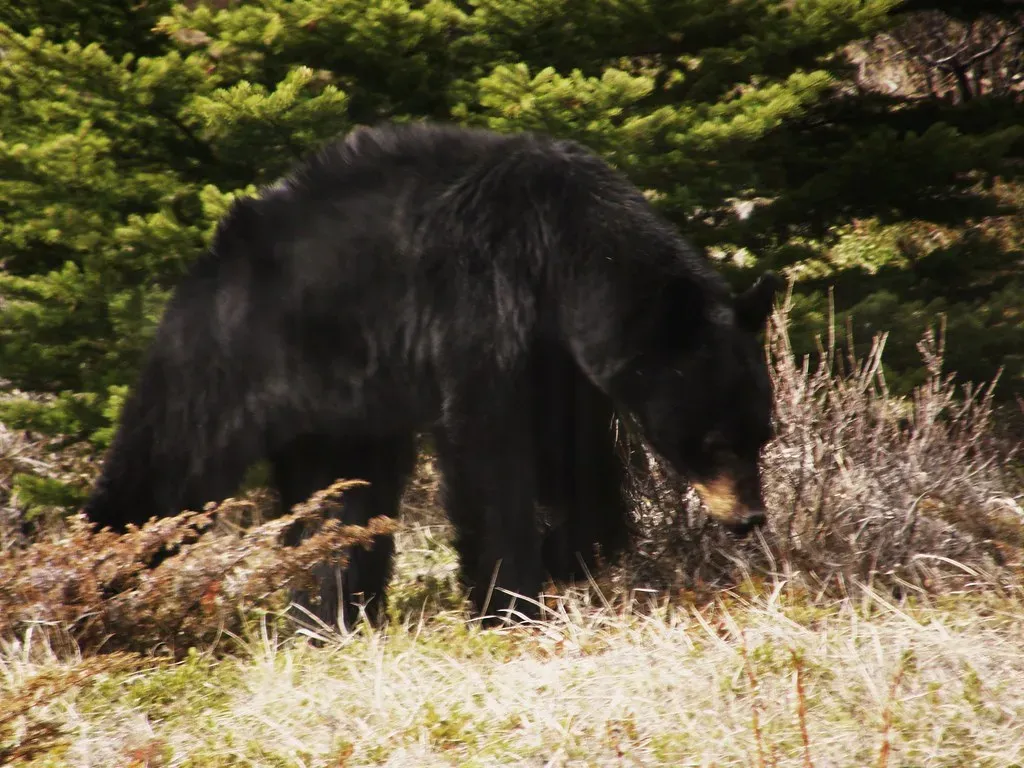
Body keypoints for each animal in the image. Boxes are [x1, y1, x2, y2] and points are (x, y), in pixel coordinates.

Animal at [82, 120, 780, 628]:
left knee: (342, 500)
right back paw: (88, 589)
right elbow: (486, 450)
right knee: (167, 467)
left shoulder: (562, 358)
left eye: (762, 434)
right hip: (225, 362)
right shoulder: (479, 303)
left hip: (344, 405)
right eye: (714, 441)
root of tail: (203, 265)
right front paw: (510, 600)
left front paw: (572, 556)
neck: (562, 254)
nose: (750, 517)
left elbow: (578, 461)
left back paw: (330, 615)